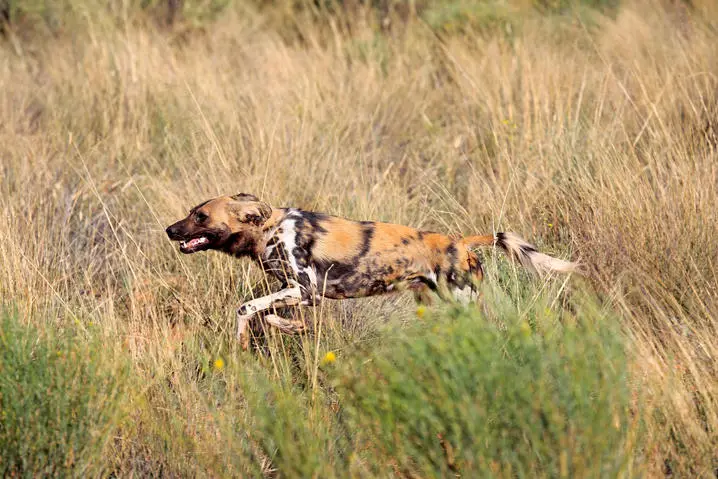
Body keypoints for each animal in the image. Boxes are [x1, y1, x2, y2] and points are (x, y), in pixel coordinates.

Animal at [167, 193, 580, 350]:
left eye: (200, 217)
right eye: (191, 212)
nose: (170, 230)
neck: (268, 230)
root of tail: (461, 242)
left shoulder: (304, 290)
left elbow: (245, 308)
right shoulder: (300, 295)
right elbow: (268, 315)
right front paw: (293, 328)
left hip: (463, 304)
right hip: (435, 302)